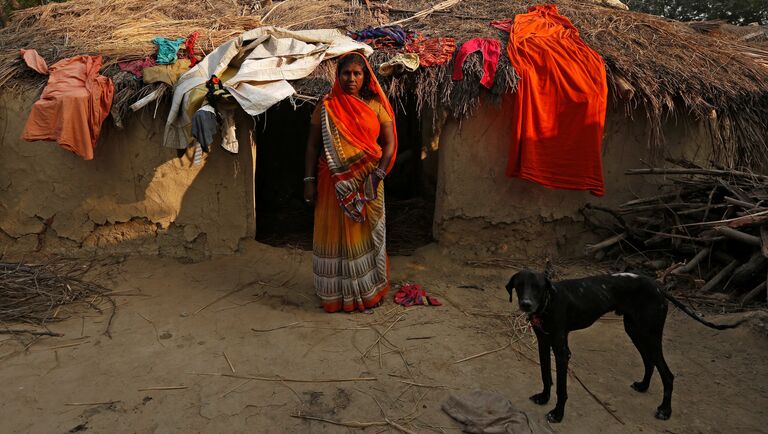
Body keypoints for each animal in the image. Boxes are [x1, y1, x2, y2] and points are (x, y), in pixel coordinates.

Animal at [508, 270, 740, 422]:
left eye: (538, 287)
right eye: (520, 286)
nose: (526, 304)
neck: (548, 303)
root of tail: (659, 287)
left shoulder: (562, 351)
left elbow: (562, 388)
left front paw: (558, 413)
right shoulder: (543, 344)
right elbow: (546, 376)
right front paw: (543, 397)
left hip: (651, 335)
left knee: (667, 374)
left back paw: (665, 410)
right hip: (635, 331)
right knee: (649, 362)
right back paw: (643, 386)